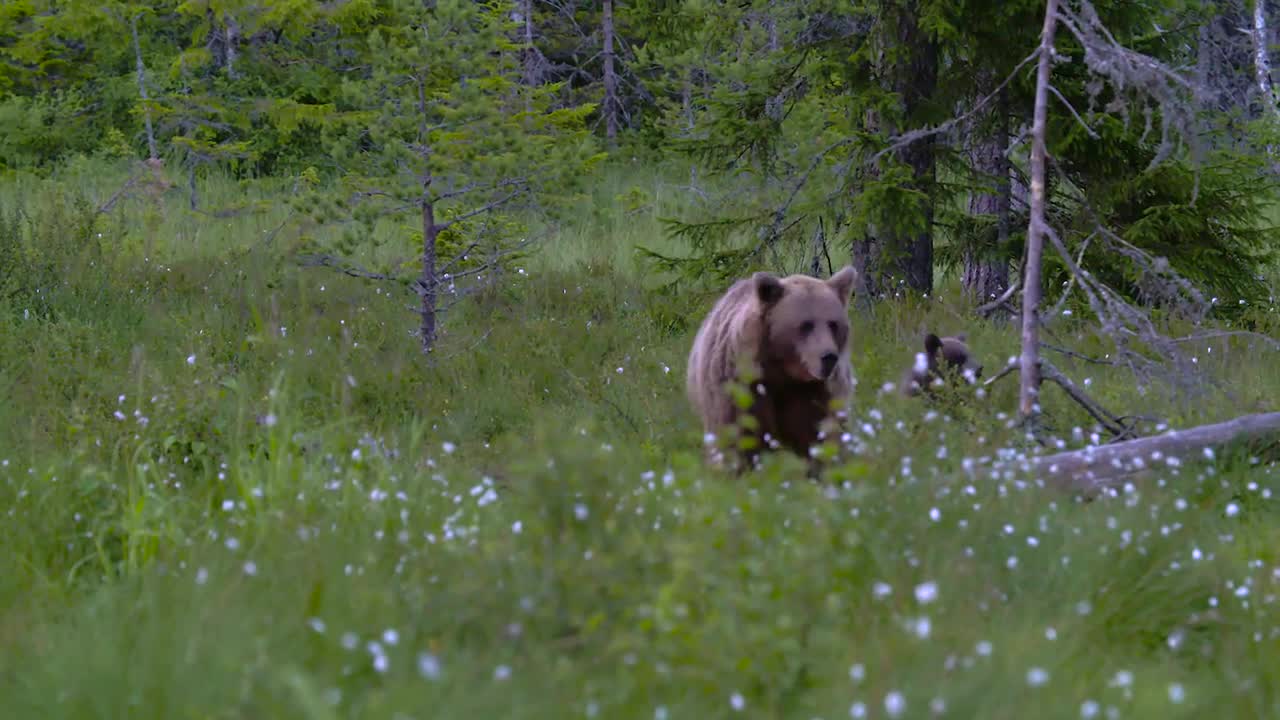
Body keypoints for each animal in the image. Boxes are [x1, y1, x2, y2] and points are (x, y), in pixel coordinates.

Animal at [686, 266, 855, 468]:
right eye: (806, 325)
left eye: (833, 324)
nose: (829, 357)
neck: (783, 370)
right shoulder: (741, 386)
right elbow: (737, 441)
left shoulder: (816, 392)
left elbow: (822, 438)